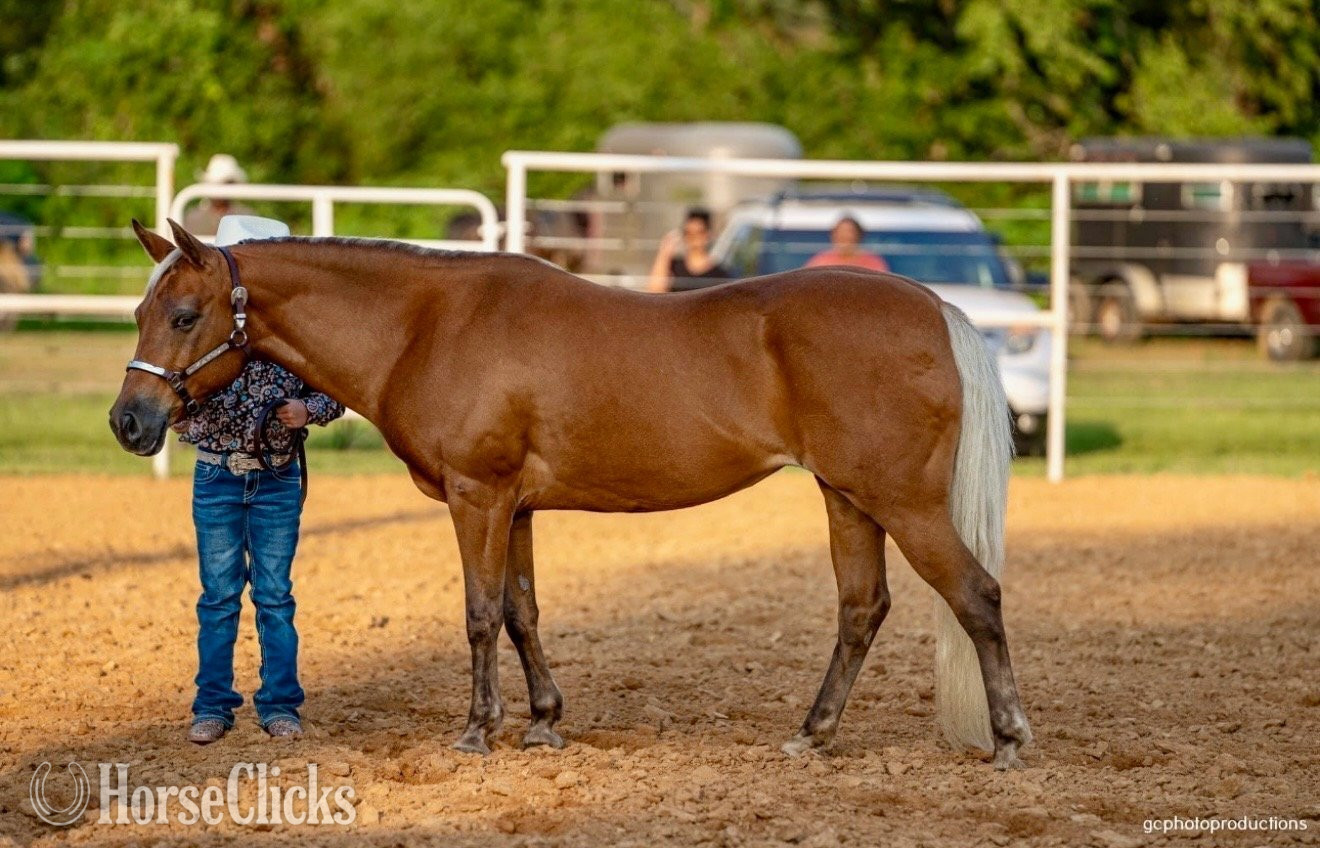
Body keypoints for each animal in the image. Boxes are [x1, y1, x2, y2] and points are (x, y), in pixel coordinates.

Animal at [110, 219, 1032, 768]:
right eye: (141, 312)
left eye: (185, 315)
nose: (129, 419)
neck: (428, 325)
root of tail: (934, 309)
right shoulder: (515, 507)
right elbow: (522, 613)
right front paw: (544, 720)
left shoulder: (477, 497)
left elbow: (481, 615)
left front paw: (478, 729)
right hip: (848, 497)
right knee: (862, 608)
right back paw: (813, 733)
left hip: (903, 503)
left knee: (978, 595)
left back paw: (1011, 738)